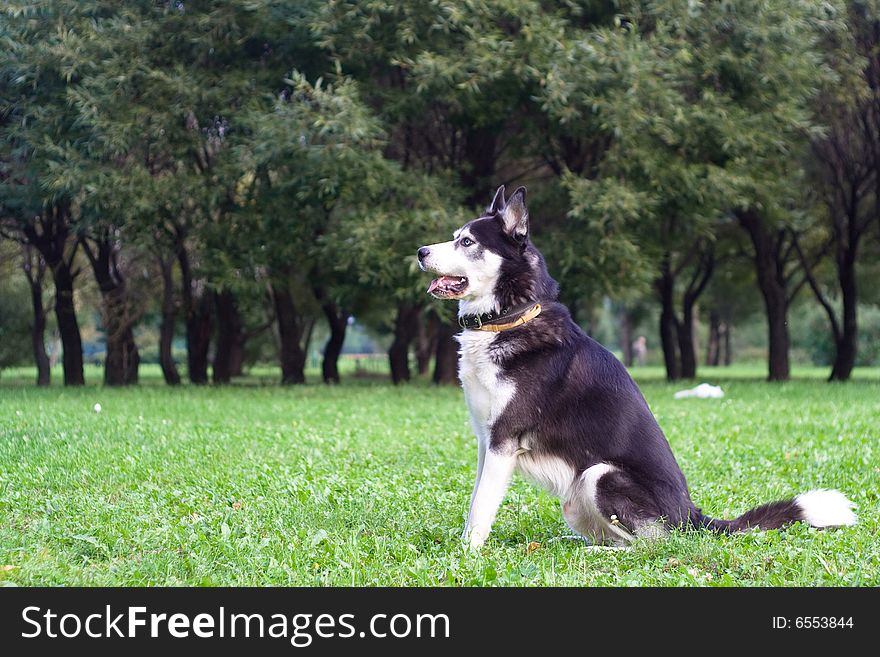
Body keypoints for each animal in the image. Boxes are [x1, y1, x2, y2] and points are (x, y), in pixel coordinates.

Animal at [416, 184, 856, 548]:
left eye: (467, 242)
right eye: (454, 237)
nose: (420, 252)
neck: (510, 318)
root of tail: (694, 517)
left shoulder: (503, 442)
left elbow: (480, 509)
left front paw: (466, 554)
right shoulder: (486, 442)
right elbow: (476, 501)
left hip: (600, 474)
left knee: (652, 545)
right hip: (577, 499)